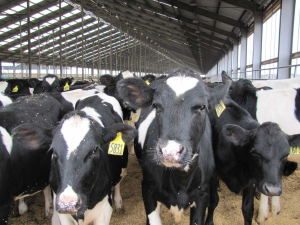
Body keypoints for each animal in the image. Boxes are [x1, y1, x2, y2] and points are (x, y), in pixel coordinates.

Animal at [47, 92, 136, 224]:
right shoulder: (63, 215)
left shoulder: (104, 211)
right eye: (54, 151)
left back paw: (119, 203)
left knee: (117, 182)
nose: (68, 204)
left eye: (95, 149)